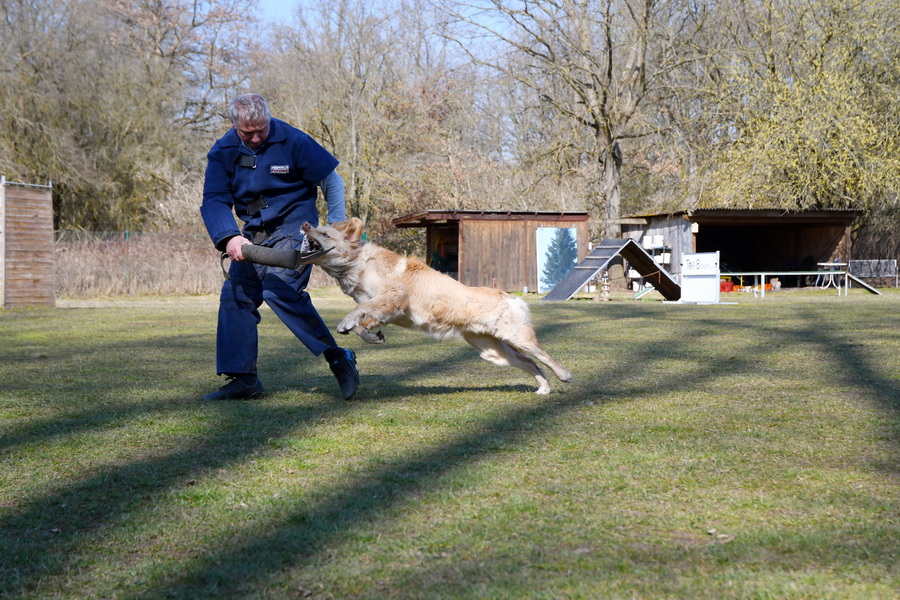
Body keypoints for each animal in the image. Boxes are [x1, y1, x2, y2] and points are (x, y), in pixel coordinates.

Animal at [298, 219, 572, 394]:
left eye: (325, 234)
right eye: (318, 228)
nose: (305, 225)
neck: (358, 264)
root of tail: (508, 296)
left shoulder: (393, 296)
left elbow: (358, 311)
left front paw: (346, 322)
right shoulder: (383, 308)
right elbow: (364, 322)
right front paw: (372, 336)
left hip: (517, 339)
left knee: (542, 356)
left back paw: (564, 375)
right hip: (494, 351)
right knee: (530, 363)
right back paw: (544, 389)